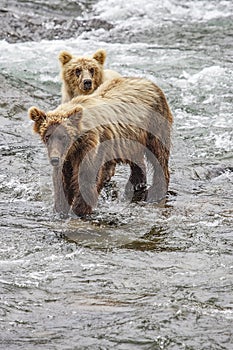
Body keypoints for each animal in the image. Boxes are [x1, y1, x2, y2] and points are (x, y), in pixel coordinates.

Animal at [28, 78, 173, 217]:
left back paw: (157, 190)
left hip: (154, 125)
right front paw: (60, 209)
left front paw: (78, 211)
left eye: (63, 136)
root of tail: (150, 83)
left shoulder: (88, 149)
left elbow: (87, 180)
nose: (54, 159)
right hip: (132, 141)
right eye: (47, 136)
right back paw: (135, 185)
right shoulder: (67, 158)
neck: (75, 145)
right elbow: (62, 182)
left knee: (159, 157)